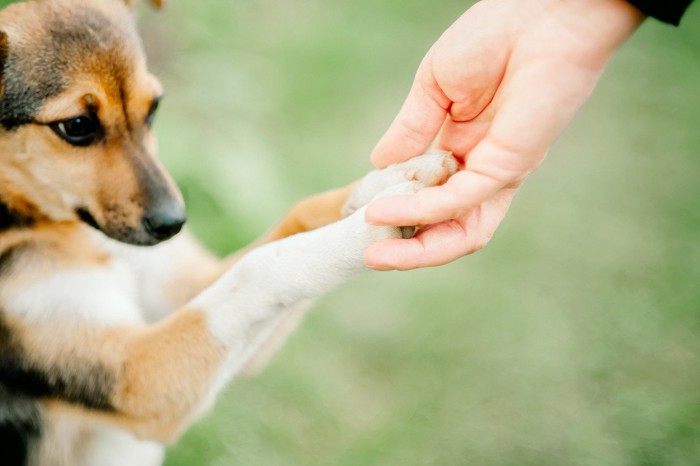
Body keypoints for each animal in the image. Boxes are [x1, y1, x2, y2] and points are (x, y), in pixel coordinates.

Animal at [0, 0, 460, 464]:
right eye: (76, 126)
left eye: (154, 107)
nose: (173, 223)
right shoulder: (140, 376)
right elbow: (261, 267)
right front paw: (369, 228)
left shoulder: (182, 295)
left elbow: (295, 221)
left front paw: (386, 182)